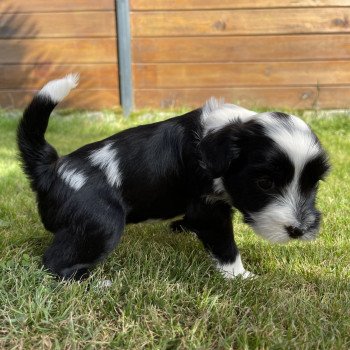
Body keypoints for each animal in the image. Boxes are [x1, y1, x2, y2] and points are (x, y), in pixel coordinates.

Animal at [16, 75, 330, 280]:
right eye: (265, 183)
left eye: (312, 183)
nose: (300, 230)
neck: (222, 133)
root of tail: (51, 169)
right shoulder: (208, 207)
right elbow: (225, 244)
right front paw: (240, 276)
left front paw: (181, 227)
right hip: (101, 223)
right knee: (54, 263)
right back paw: (95, 283)